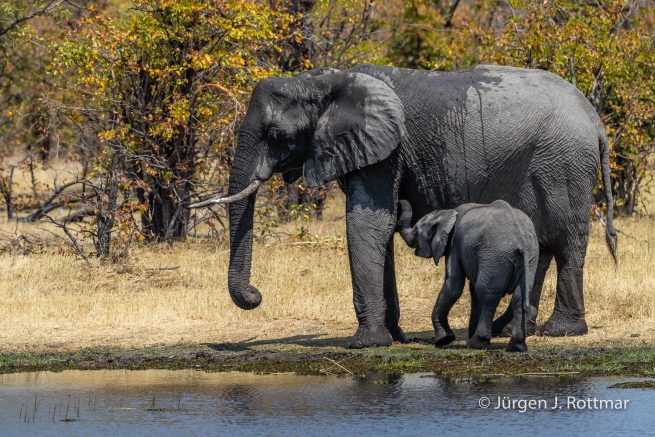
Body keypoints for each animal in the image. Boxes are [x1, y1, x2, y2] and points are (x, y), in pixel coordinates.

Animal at [396, 199, 539, 352]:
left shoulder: (454, 245)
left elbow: (454, 285)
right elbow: (472, 289)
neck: (446, 213)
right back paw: (516, 347)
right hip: (530, 257)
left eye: (416, 231)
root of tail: (521, 239)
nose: (400, 201)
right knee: (519, 297)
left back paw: (476, 343)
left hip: (495, 256)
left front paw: (443, 340)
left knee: (488, 294)